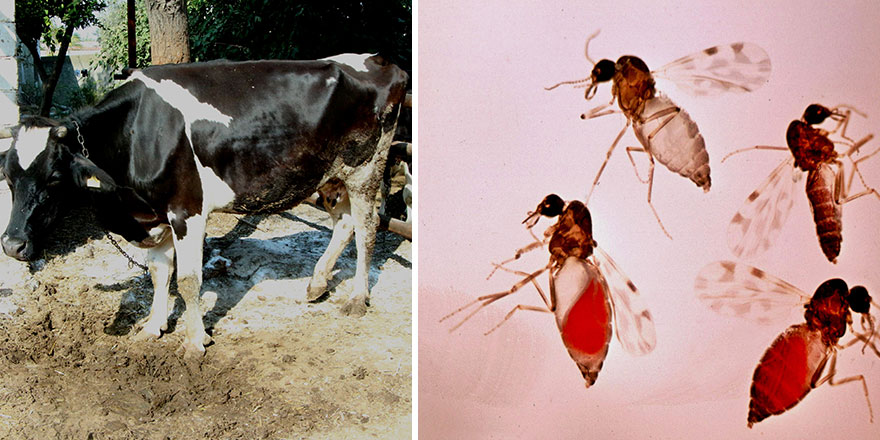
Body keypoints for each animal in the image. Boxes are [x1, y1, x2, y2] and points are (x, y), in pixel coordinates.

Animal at [0, 54, 410, 358]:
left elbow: (188, 280)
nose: (12, 245)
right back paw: (318, 283)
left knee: (368, 226)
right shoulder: (155, 215)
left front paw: (195, 341)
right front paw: (153, 326)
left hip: (366, 167)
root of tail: (381, 60)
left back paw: (357, 298)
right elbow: (158, 275)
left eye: (54, 177)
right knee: (344, 222)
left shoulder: (187, 211)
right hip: (328, 175)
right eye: (8, 177)